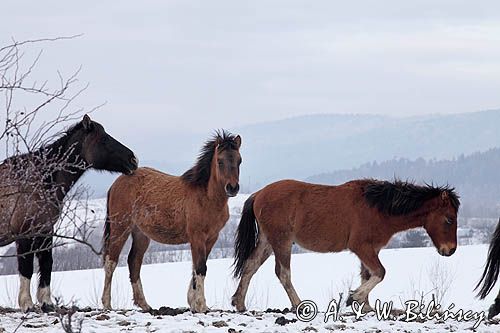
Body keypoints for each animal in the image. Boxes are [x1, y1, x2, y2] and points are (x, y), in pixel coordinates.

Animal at [0, 115, 138, 312]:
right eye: (104, 139)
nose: (133, 159)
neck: (40, 179)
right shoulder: (24, 234)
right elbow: (26, 268)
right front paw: (27, 304)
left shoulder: (45, 231)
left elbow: (47, 264)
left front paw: (46, 303)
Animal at [100, 130, 241, 312]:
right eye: (220, 161)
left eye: (239, 160)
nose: (232, 188)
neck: (205, 197)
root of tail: (116, 183)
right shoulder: (197, 237)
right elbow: (200, 267)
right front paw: (201, 305)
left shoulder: (211, 238)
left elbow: (197, 267)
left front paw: (193, 303)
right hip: (120, 228)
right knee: (111, 261)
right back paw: (107, 304)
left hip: (141, 234)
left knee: (134, 262)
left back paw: (144, 304)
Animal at [232, 179, 458, 312]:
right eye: (449, 219)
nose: (450, 250)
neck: (378, 208)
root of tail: (259, 194)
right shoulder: (362, 247)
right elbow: (380, 272)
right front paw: (353, 297)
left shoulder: (372, 249)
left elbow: (368, 274)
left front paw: (365, 306)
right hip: (282, 242)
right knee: (283, 274)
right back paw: (299, 305)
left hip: (267, 242)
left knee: (250, 266)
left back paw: (239, 303)